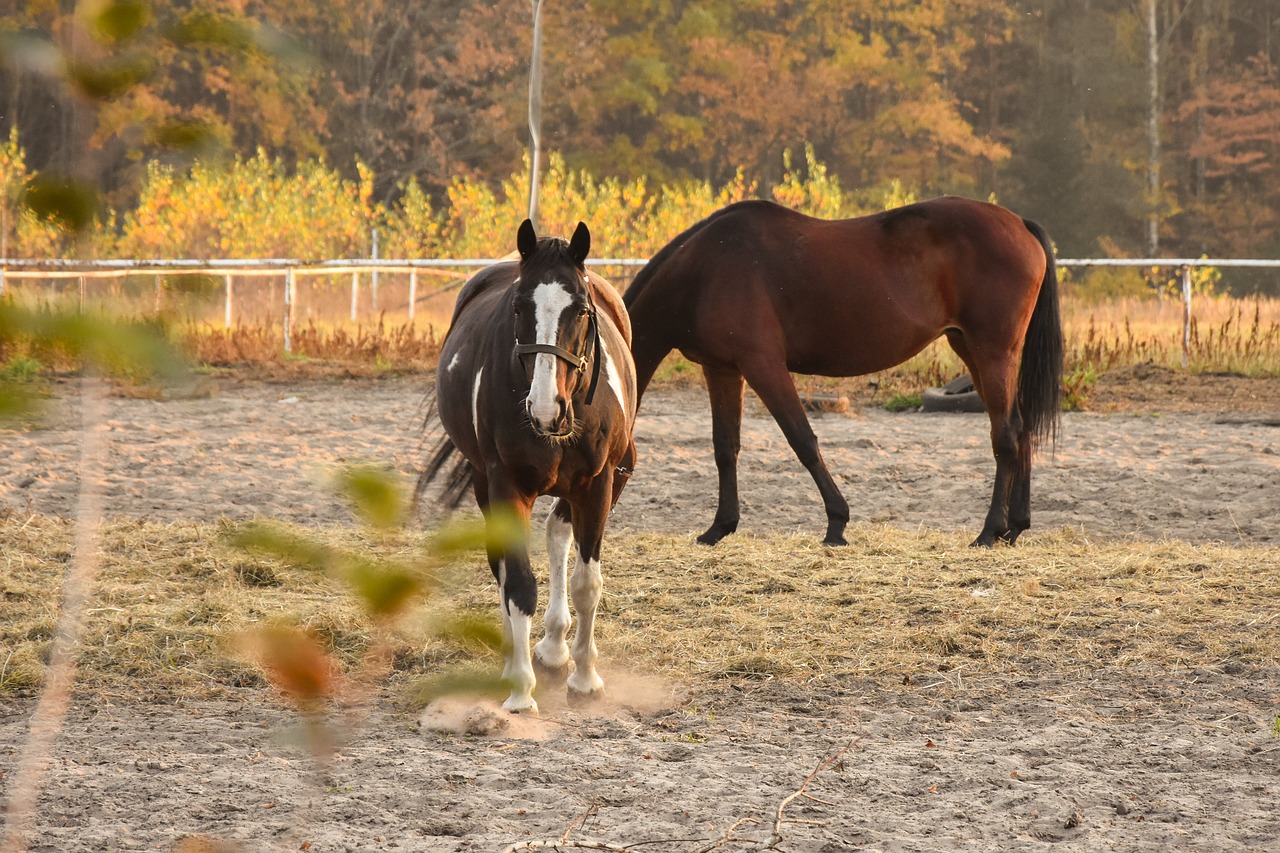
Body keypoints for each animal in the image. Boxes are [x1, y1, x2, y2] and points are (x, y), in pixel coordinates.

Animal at [422, 219, 637, 712]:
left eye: (581, 310)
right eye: (519, 307)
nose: (544, 408)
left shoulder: (597, 485)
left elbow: (586, 583)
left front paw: (585, 679)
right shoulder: (507, 485)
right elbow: (518, 584)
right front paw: (520, 691)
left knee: (558, 535)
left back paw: (556, 650)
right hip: (484, 481)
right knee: (502, 567)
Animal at [624, 197, 1064, 548]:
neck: (706, 269)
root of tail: (1019, 223)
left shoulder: (763, 365)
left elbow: (803, 441)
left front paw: (837, 523)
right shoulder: (722, 370)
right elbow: (724, 447)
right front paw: (719, 528)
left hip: (992, 353)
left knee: (1005, 434)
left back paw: (990, 532)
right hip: (970, 348)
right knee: (1021, 428)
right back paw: (1015, 527)